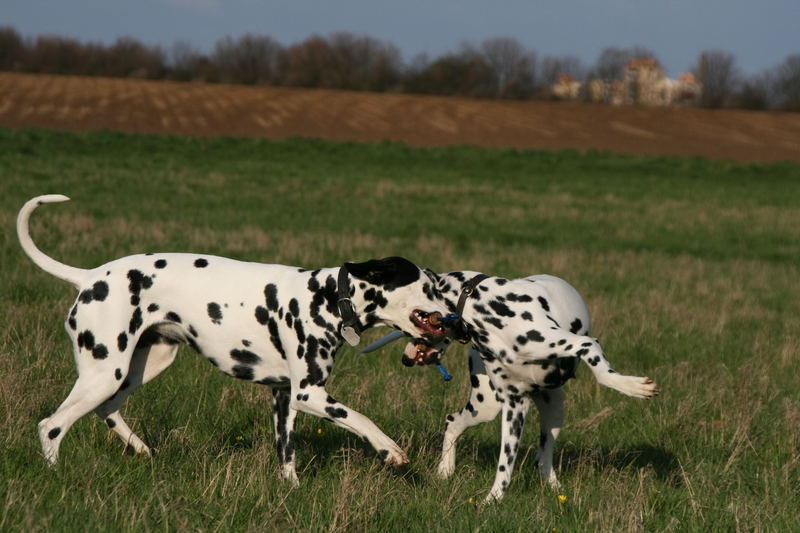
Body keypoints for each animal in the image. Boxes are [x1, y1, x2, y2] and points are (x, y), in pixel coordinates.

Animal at [18, 195, 454, 482]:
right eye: (429, 286)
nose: (452, 314)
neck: (328, 297)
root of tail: (89, 277)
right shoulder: (309, 394)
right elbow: (361, 418)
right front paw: (389, 451)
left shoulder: (285, 396)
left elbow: (286, 455)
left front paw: (291, 490)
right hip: (104, 372)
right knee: (52, 425)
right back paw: (55, 473)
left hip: (140, 367)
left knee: (107, 410)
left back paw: (140, 449)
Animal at [366, 270, 660, 502]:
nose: (405, 359)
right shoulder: (514, 405)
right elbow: (504, 466)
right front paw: (492, 501)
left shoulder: (583, 345)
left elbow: (602, 371)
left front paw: (632, 386)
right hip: (486, 407)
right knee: (454, 421)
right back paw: (445, 470)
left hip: (553, 411)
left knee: (544, 457)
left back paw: (555, 489)